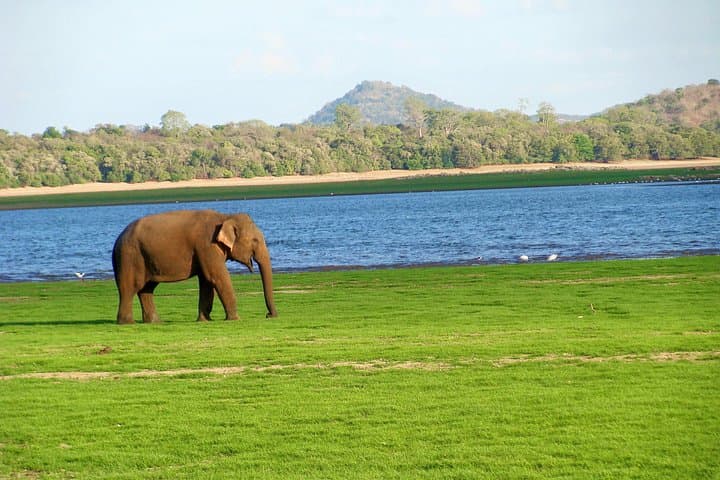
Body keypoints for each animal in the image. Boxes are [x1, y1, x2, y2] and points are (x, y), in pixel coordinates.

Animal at [112, 209, 277, 324]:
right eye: (255, 240)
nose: (269, 315)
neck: (225, 217)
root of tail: (118, 238)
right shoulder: (207, 245)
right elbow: (217, 277)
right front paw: (235, 319)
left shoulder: (204, 251)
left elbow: (206, 281)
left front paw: (205, 320)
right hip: (129, 257)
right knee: (130, 288)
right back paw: (127, 323)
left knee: (147, 289)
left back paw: (155, 322)